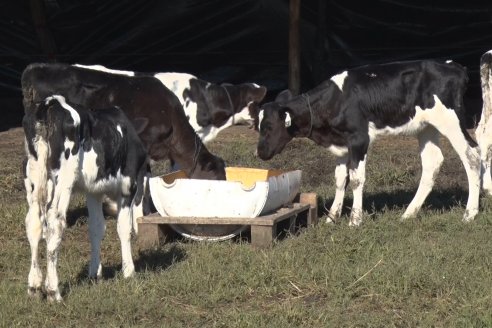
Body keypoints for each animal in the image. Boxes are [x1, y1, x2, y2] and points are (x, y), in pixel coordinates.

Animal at [258, 59, 480, 226]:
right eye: (257, 125)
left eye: (268, 126)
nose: (259, 152)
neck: (335, 101)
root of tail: (454, 67)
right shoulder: (342, 145)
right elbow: (340, 180)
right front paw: (332, 218)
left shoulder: (359, 139)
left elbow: (357, 179)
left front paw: (355, 220)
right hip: (426, 127)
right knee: (432, 163)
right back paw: (408, 214)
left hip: (452, 122)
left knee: (472, 157)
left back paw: (470, 213)